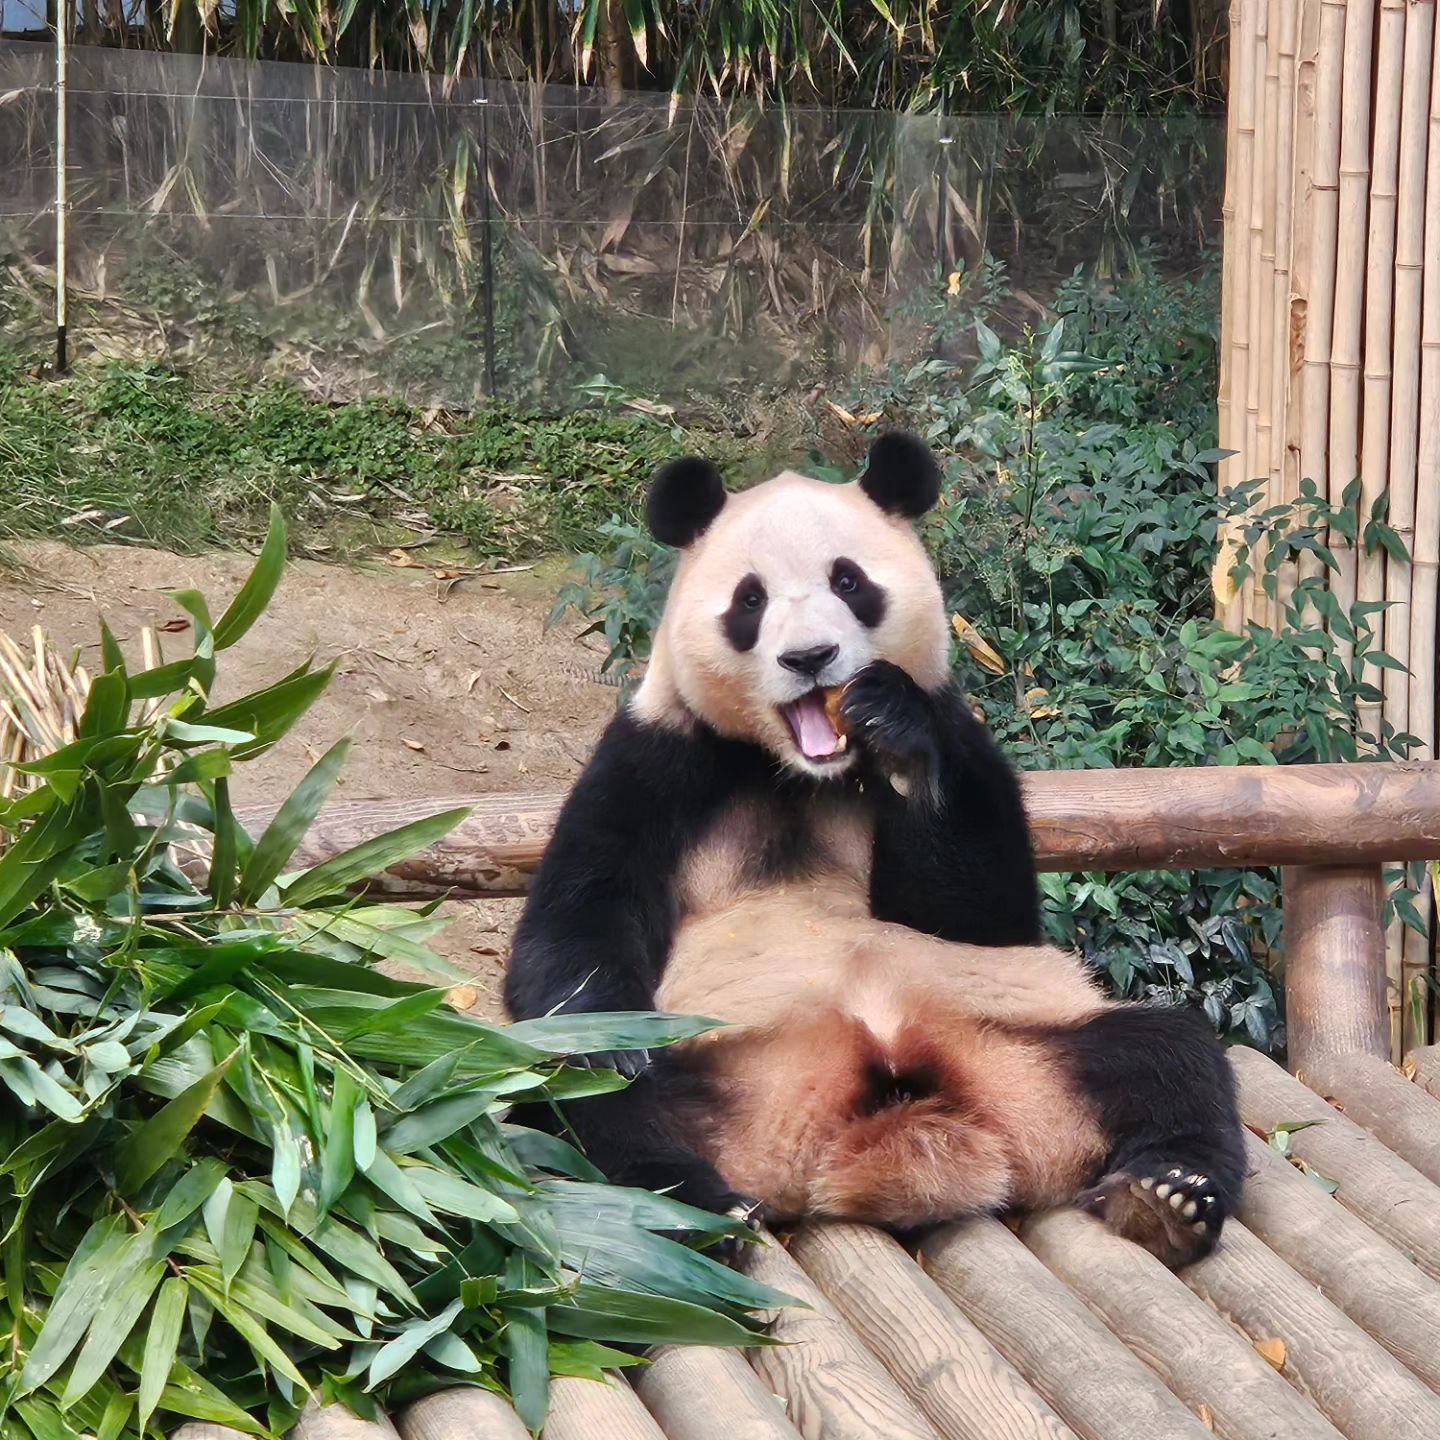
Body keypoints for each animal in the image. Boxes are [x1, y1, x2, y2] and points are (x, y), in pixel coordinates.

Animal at [505, 431, 1245, 1267]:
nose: (810, 657)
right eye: (750, 601)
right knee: (575, 1106)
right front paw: (610, 1042)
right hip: (718, 1065)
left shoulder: (959, 734)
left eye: (849, 581)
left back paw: (1166, 1196)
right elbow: (581, 915)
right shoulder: (659, 755)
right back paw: (694, 1214)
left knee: (1173, 1054)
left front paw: (890, 724)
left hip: (1027, 1042)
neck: (801, 772)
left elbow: (981, 915)